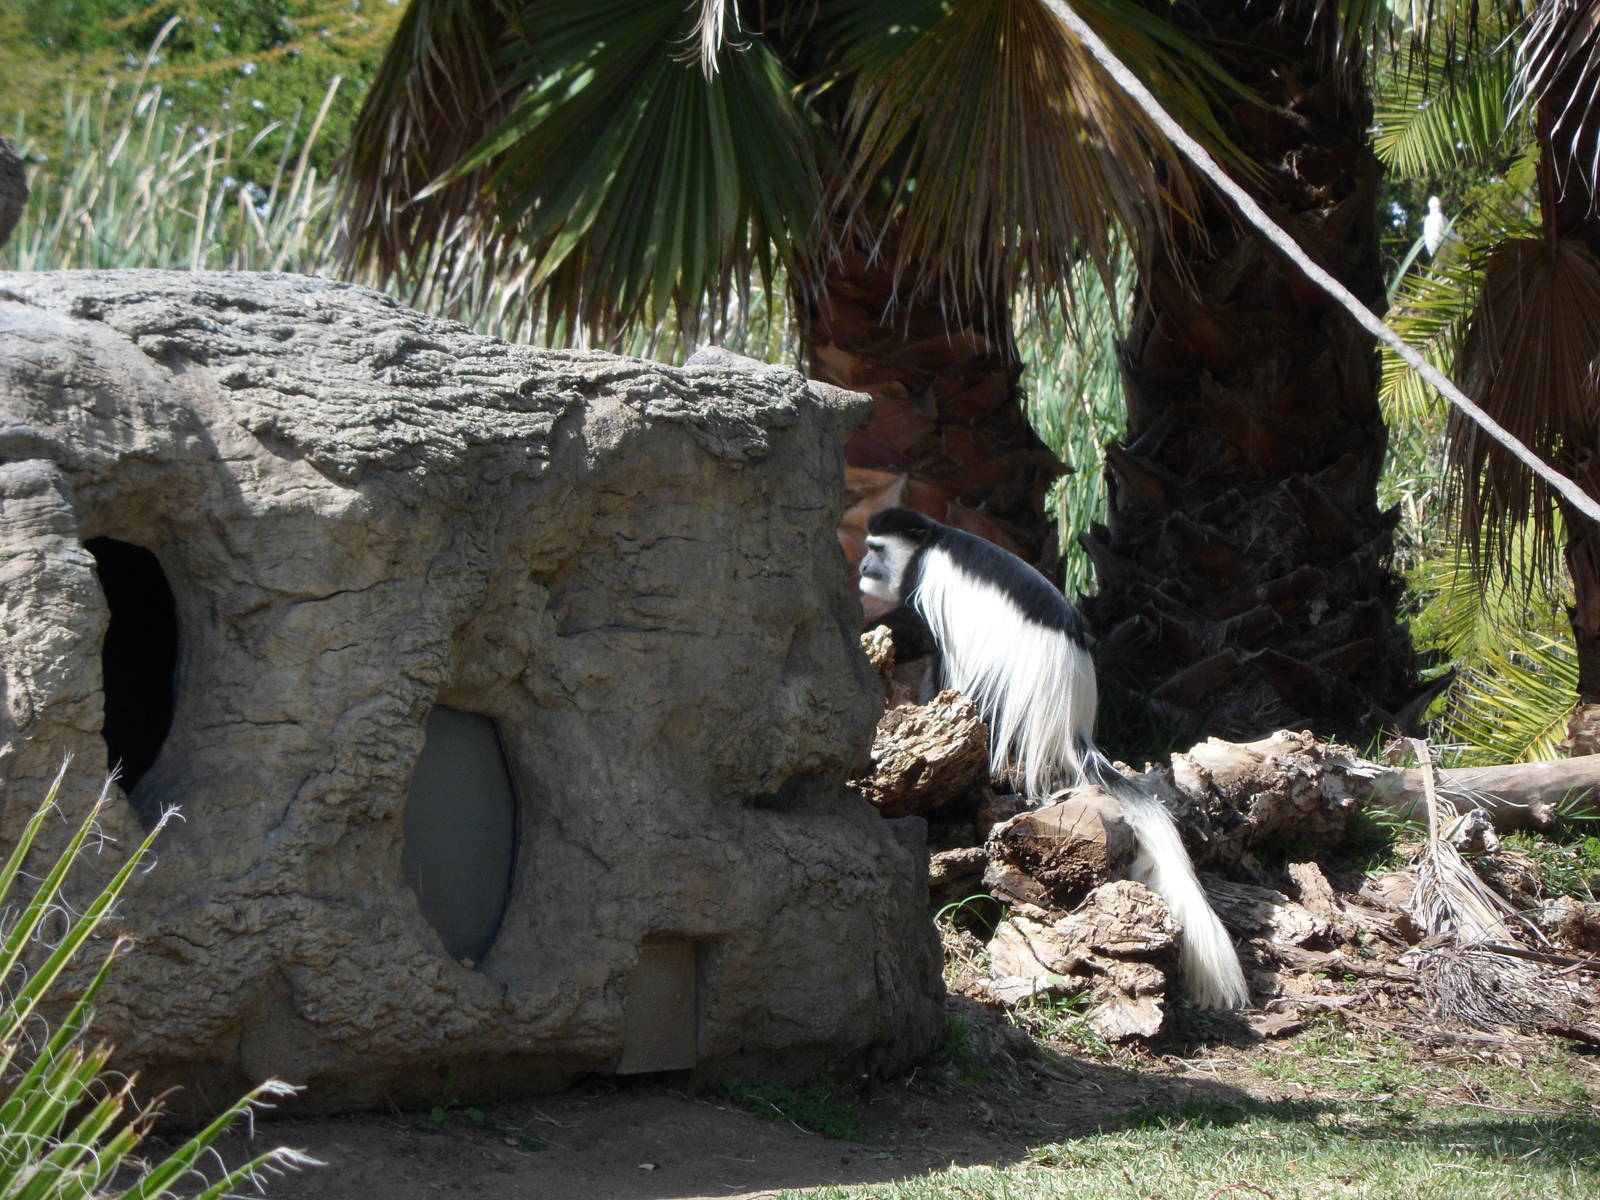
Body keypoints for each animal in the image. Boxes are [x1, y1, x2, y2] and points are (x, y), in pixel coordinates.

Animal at [859, 507, 1250, 1010]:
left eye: (875, 549)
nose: (862, 568)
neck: (931, 543)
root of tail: (1072, 720)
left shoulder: (928, 585)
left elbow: (932, 653)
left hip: (1007, 688)